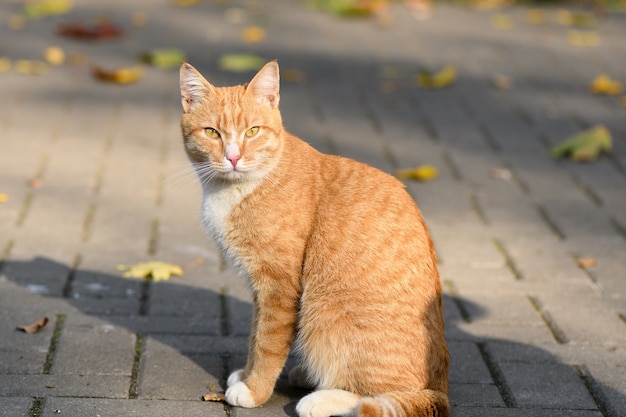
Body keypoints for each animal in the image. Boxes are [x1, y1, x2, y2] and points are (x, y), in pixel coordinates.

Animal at [178, 61, 446, 416]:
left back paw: (321, 399)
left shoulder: (278, 286)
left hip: (324, 309)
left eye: (252, 131)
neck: (237, 188)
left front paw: (254, 390)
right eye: (212, 133)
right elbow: (255, 337)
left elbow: (268, 345)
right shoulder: (260, 288)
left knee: (379, 395)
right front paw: (246, 375)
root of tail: (440, 389)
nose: (233, 158)